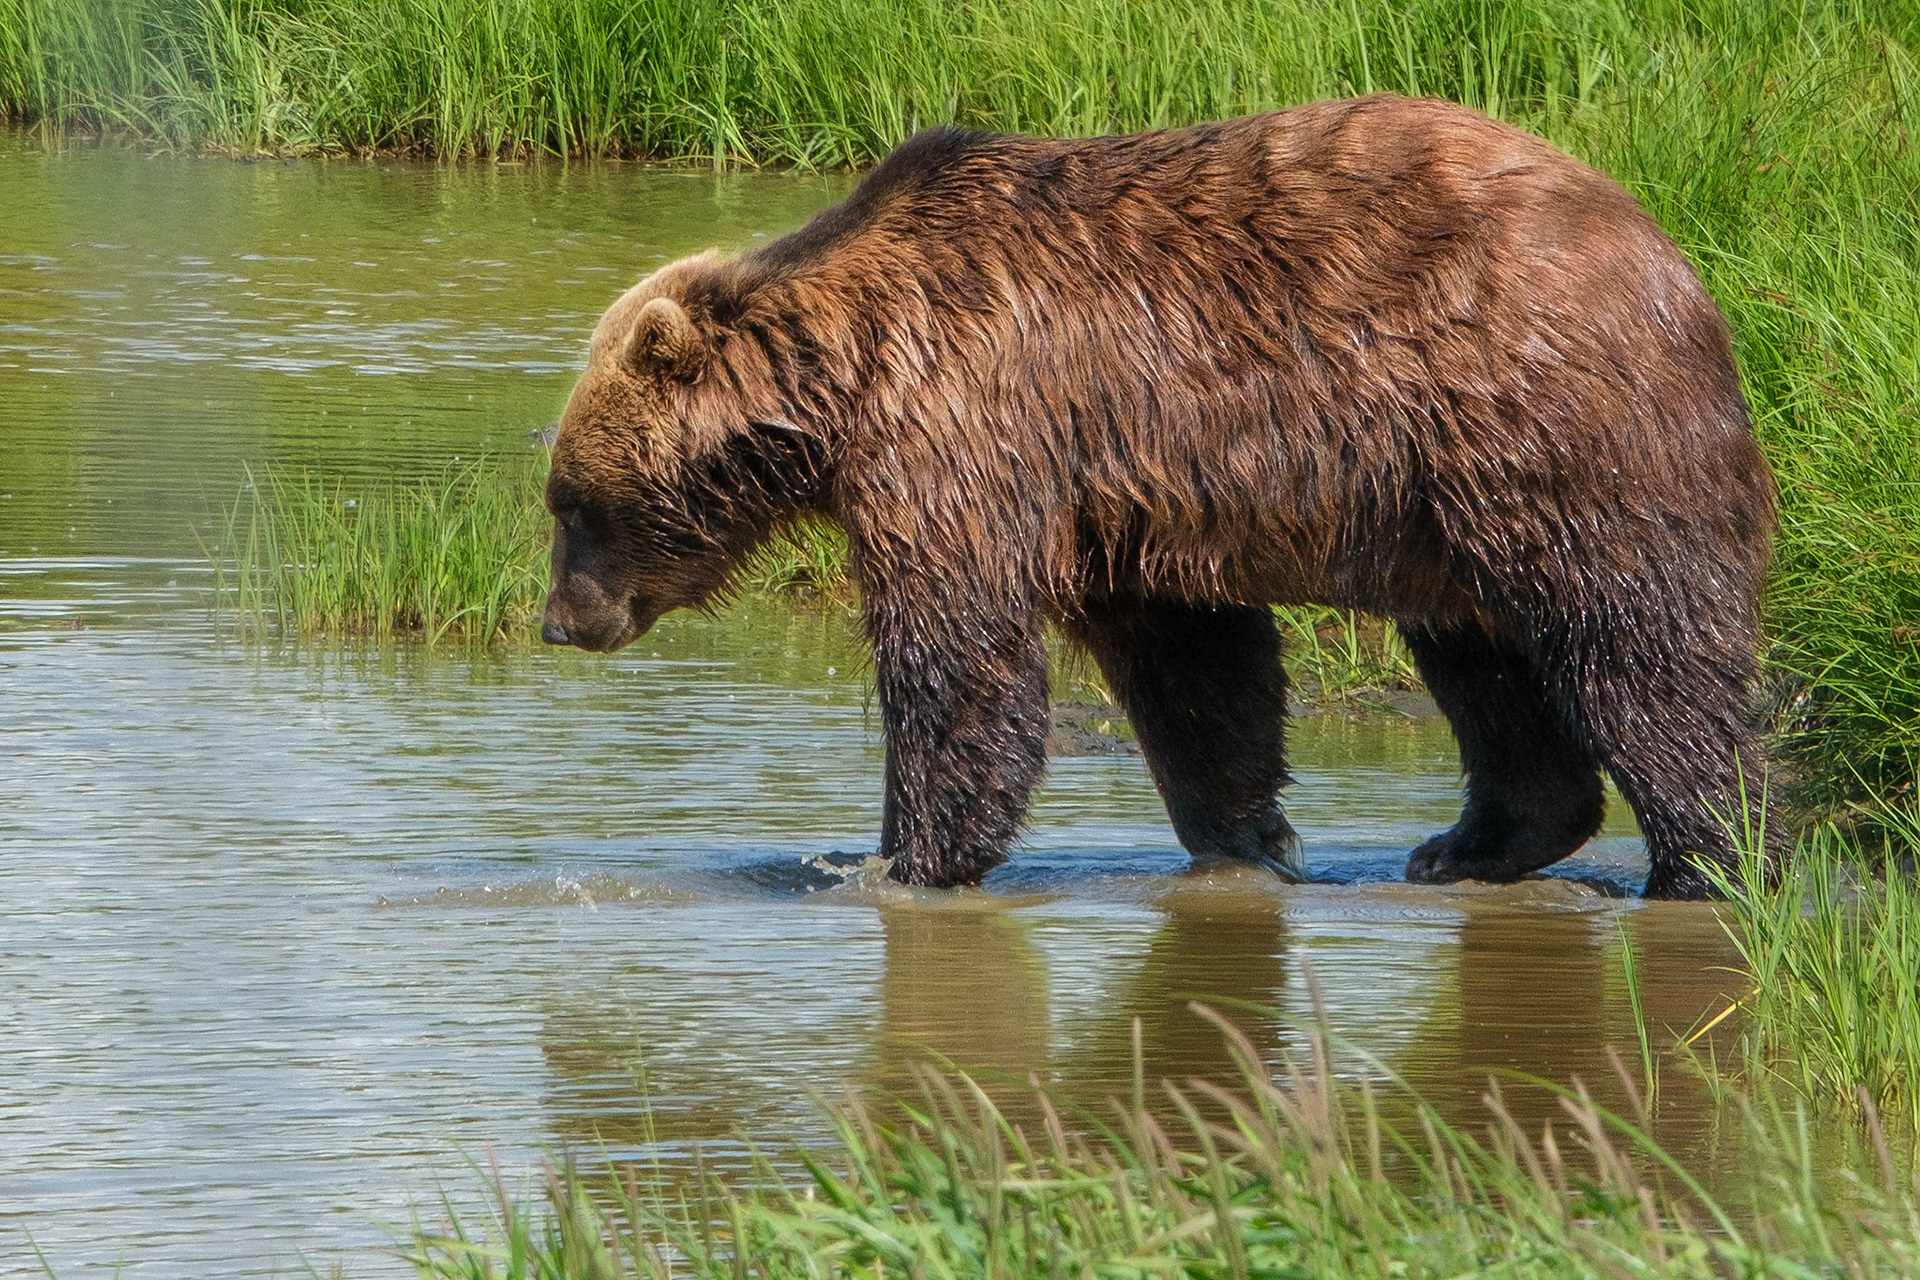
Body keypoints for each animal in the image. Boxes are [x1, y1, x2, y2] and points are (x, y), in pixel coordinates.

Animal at [538, 94, 1781, 900]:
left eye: (568, 498)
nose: (559, 621)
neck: (841, 378)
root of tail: (1667, 253)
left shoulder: (966, 435)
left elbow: (957, 656)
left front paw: (896, 860)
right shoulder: (1121, 494)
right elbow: (1195, 669)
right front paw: (1247, 837)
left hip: (1536, 425)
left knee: (1634, 643)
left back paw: (1707, 859)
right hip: (1445, 496)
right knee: (1485, 655)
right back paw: (1469, 846)